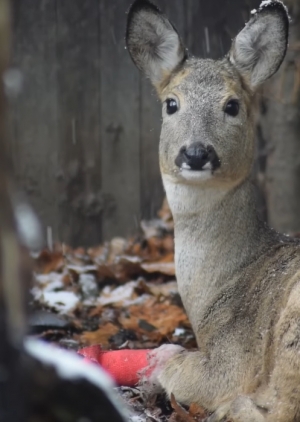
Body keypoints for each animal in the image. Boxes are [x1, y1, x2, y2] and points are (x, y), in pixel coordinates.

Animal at [126, 0, 300, 422]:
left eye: (232, 105)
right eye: (171, 103)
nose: (196, 152)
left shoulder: (234, 356)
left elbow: (188, 368)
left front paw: (155, 361)